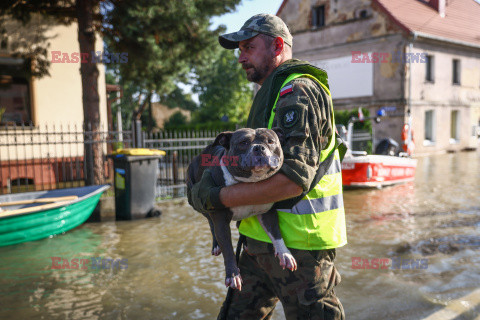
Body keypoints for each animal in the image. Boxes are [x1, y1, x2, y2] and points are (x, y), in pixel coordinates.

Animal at [187, 127, 296, 290]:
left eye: (270, 141)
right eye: (243, 142)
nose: (259, 148)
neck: (249, 184)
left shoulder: (268, 213)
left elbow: (276, 233)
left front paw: (285, 254)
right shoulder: (220, 220)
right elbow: (228, 249)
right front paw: (233, 275)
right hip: (200, 201)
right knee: (211, 225)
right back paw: (216, 245)